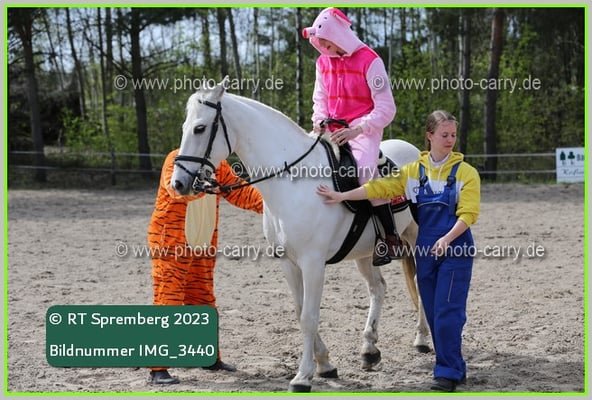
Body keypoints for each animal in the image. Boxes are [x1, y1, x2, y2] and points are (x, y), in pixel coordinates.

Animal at [171, 80, 430, 392]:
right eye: (184, 126)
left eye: (199, 128)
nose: (178, 183)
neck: (292, 180)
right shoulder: (288, 262)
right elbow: (299, 311)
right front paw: (325, 364)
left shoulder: (312, 263)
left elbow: (309, 316)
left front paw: (303, 376)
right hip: (366, 253)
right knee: (377, 289)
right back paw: (369, 350)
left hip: (416, 239)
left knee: (421, 284)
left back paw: (421, 339)